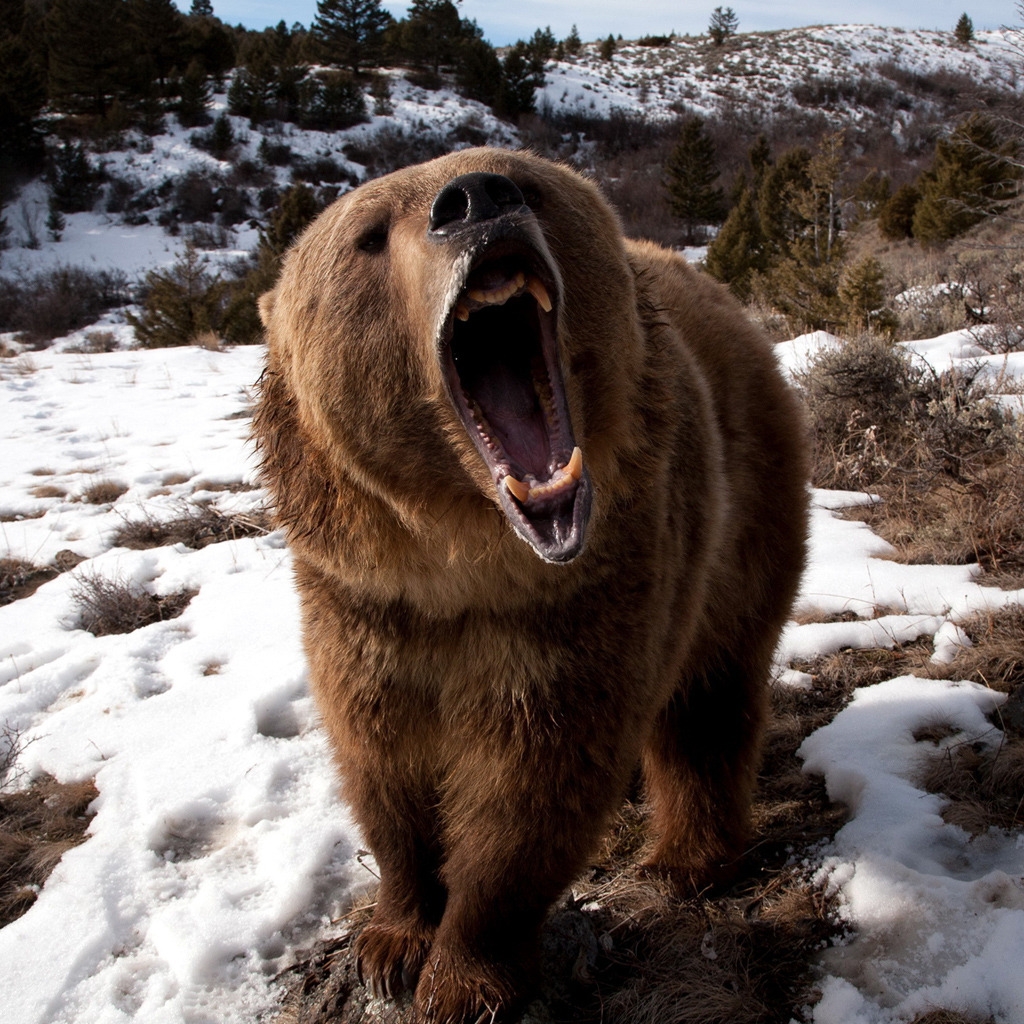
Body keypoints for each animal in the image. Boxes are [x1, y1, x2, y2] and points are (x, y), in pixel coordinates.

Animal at [253, 148, 806, 1019]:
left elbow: (532, 786)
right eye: (368, 235)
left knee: (709, 696)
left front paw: (462, 977)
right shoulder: (363, 604)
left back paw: (684, 859)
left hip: (742, 512)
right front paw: (391, 941)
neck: (462, 562)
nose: (476, 200)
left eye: (527, 181)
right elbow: (382, 763)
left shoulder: (576, 604)